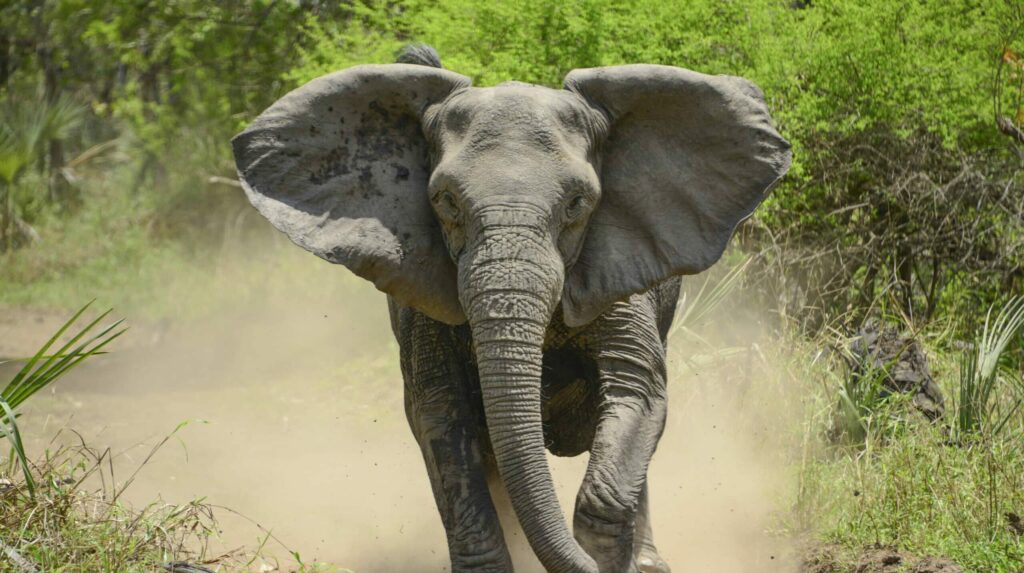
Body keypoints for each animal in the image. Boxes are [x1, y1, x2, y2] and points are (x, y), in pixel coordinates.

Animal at [232, 45, 790, 573]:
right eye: (446, 200)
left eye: (577, 203)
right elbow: (440, 413)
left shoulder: (620, 268)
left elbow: (637, 391)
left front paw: (608, 559)